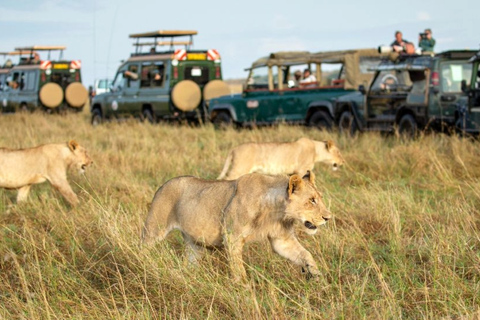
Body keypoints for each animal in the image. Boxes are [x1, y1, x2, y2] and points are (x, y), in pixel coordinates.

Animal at [141, 171, 332, 282]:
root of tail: (163, 184)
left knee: (188, 264)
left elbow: (306, 255)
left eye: (320, 198)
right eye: (311, 200)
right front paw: (245, 292)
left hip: (194, 244)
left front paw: (317, 277)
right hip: (154, 228)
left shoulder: (282, 239)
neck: (275, 210)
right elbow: (239, 271)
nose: (328, 217)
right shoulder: (232, 237)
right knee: (143, 247)